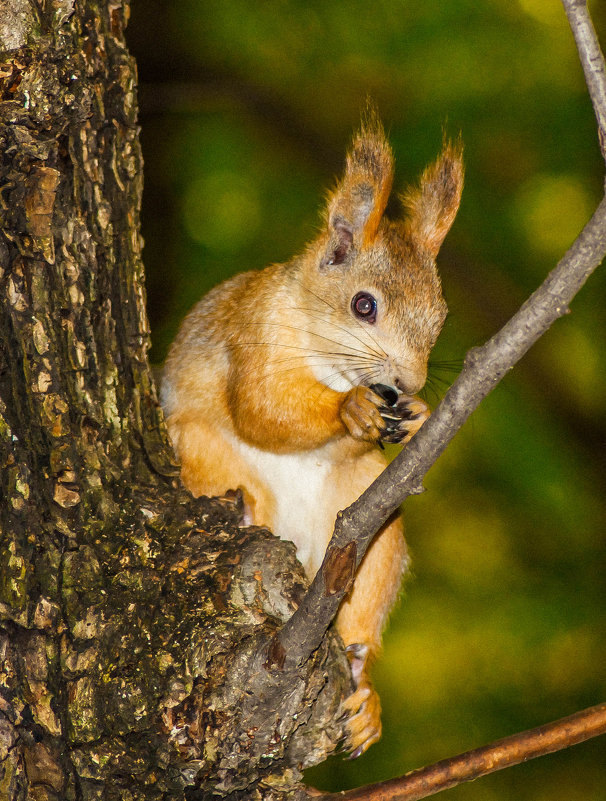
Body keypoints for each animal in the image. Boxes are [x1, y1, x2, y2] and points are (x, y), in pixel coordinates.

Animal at [162, 114, 466, 756]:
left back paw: (363, 692)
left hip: (375, 537)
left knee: (360, 626)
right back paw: (244, 509)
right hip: (199, 448)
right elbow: (261, 408)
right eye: (363, 306)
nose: (408, 382)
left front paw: (419, 414)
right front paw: (351, 409)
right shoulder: (250, 336)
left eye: (441, 316)